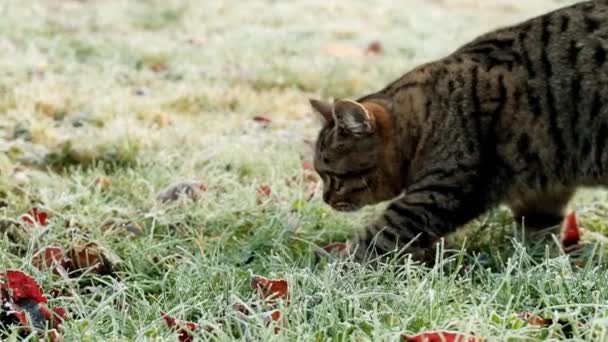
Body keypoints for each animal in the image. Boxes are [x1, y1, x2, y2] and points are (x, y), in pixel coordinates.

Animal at [308, 0, 608, 264]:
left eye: (332, 176)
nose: (325, 199)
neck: (426, 119)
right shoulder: (543, 191)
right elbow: (539, 235)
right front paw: (534, 265)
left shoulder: (437, 194)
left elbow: (380, 237)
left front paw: (334, 268)